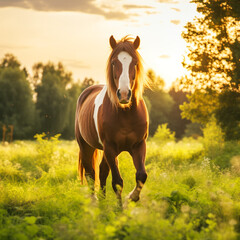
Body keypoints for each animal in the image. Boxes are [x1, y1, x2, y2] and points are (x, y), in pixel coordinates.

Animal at [75, 34, 149, 205]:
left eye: (135, 63)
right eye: (114, 62)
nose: (124, 94)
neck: (125, 113)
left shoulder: (139, 145)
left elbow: (141, 175)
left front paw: (132, 197)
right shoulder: (110, 147)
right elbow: (117, 182)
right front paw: (119, 208)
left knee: (102, 171)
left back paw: (102, 200)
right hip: (86, 146)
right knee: (90, 173)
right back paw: (94, 201)